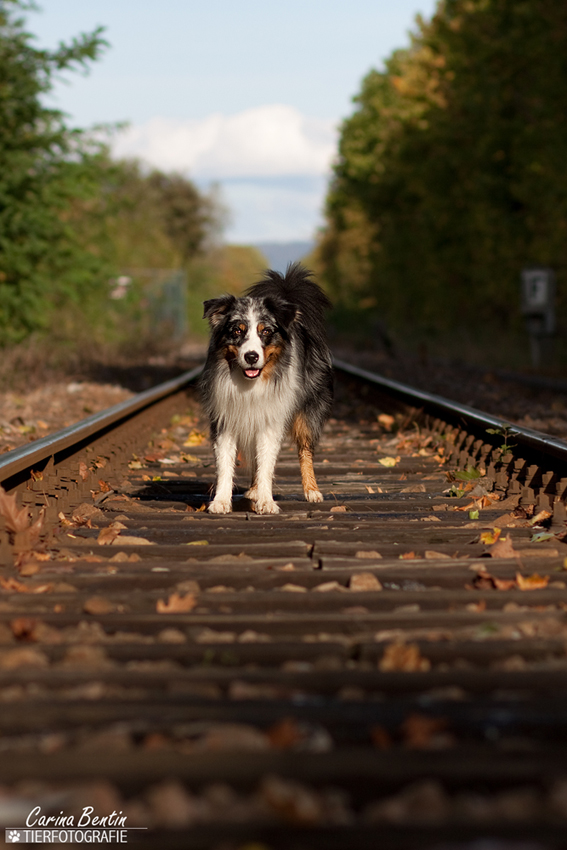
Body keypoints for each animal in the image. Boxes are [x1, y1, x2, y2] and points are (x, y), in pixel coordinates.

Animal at [200, 262, 332, 512]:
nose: (251, 356)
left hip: (307, 412)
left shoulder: (271, 419)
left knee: (305, 450)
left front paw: (266, 501)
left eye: (266, 331)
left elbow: (266, 463)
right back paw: (252, 490)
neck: (250, 384)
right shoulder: (225, 419)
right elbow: (225, 464)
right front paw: (221, 501)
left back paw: (311, 490)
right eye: (237, 331)